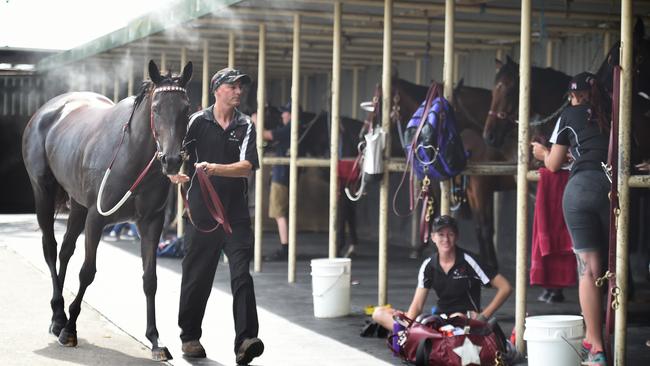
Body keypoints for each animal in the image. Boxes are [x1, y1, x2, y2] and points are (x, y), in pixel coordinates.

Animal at [20, 60, 192, 360]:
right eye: (156, 108)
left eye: (186, 108)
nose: (171, 161)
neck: (131, 154)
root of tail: (46, 110)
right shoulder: (96, 218)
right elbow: (87, 272)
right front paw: (71, 329)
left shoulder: (151, 222)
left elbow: (150, 279)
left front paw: (155, 340)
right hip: (43, 192)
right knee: (51, 247)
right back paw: (59, 317)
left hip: (77, 204)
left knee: (65, 250)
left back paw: (57, 317)